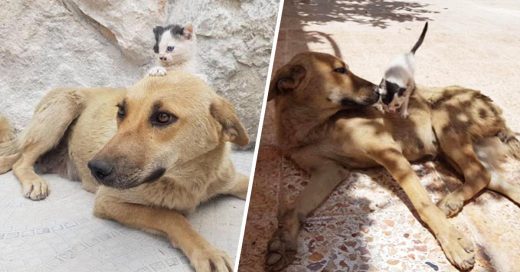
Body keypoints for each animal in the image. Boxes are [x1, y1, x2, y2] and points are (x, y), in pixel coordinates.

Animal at [0, 71, 250, 272]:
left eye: (163, 117)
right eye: (121, 112)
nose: (95, 168)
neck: (188, 179)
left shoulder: (229, 180)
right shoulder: (108, 200)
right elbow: (170, 216)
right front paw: (207, 251)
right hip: (62, 111)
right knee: (21, 161)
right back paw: (34, 181)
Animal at [264, 51, 520, 270]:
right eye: (340, 70)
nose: (380, 91)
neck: (314, 125)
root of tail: (497, 112)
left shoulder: (389, 152)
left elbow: (423, 203)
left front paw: (452, 241)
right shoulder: (328, 170)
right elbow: (292, 209)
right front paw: (283, 243)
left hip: (444, 121)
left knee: (479, 173)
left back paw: (450, 201)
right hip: (452, 153)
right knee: (490, 177)